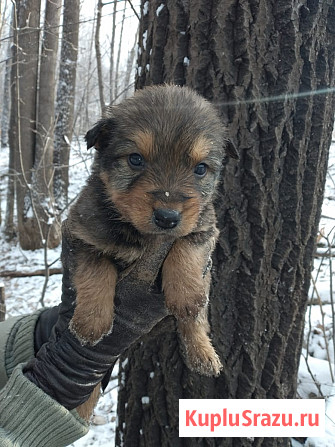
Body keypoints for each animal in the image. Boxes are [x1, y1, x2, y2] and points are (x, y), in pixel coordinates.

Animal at [67, 85, 239, 420]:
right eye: (135, 159)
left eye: (200, 169)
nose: (167, 217)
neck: (144, 236)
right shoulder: (80, 234)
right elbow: (96, 270)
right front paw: (90, 323)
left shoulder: (205, 226)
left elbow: (185, 247)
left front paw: (185, 296)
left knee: (196, 323)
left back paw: (203, 354)